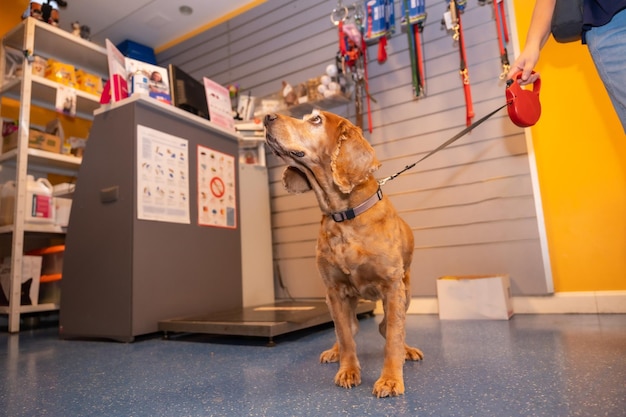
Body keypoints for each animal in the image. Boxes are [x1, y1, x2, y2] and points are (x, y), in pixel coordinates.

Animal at [260, 109, 422, 394]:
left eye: (316, 119)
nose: (267, 117)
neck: (345, 215)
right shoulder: (334, 291)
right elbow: (345, 335)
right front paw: (348, 371)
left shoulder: (392, 287)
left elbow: (392, 334)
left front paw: (390, 379)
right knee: (349, 327)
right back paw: (335, 351)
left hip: (407, 289)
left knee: (387, 328)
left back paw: (407, 350)